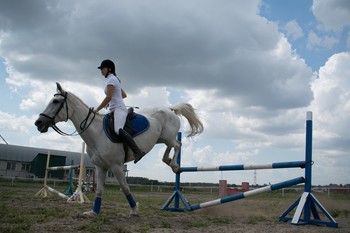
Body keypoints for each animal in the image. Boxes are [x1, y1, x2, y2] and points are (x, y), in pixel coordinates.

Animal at [34, 83, 204, 216]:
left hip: (167, 136)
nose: (38, 123)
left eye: (56, 101)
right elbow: (99, 190)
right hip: (161, 138)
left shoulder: (116, 166)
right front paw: (94, 212)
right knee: (171, 147)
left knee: (177, 145)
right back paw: (168, 160)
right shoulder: (100, 167)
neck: (97, 132)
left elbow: (125, 188)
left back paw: (174, 165)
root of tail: (170, 109)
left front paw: (134, 209)